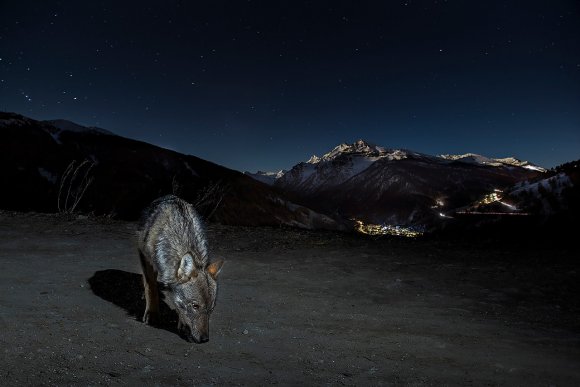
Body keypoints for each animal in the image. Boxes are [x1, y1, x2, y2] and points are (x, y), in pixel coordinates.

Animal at [138, 196, 224, 344]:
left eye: (211, 309)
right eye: (195, 306)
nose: (204, 339)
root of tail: (169, 196)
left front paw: (182, 325)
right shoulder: (143, 253)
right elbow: (150, 286)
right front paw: (152, 314)